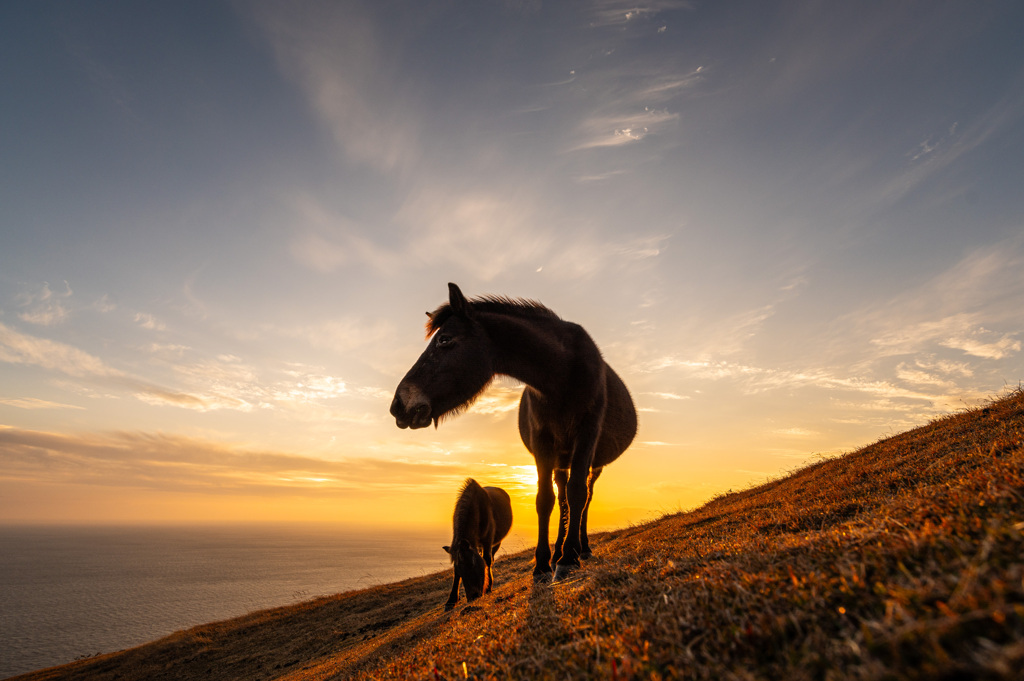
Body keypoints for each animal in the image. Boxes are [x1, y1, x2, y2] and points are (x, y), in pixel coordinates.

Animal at [444, 475, 516, 606]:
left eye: (472, 564)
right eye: (460, 571)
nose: (473, 596)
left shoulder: (487, 541)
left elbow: (487, 560)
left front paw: (488, 588)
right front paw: (451, 600)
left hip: (496, 543)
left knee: (491, 558)